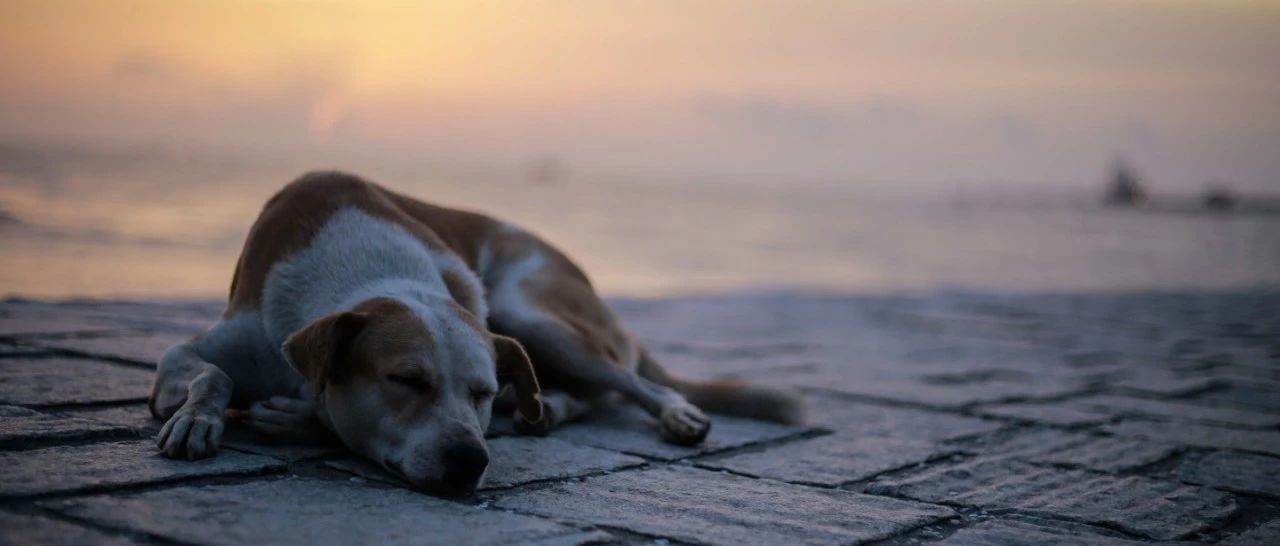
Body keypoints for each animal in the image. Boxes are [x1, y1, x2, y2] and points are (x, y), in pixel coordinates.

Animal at [149, 172, 803, 498]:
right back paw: (547, 409)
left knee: (625, 383)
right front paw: (195, 416)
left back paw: (673, 414)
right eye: (405, 380)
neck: (368, 269)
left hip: (530, 311)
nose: (470, 460)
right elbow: (202, 366)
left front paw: (299, 418)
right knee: (583, 394)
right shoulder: (227, 338)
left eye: (481, 393)